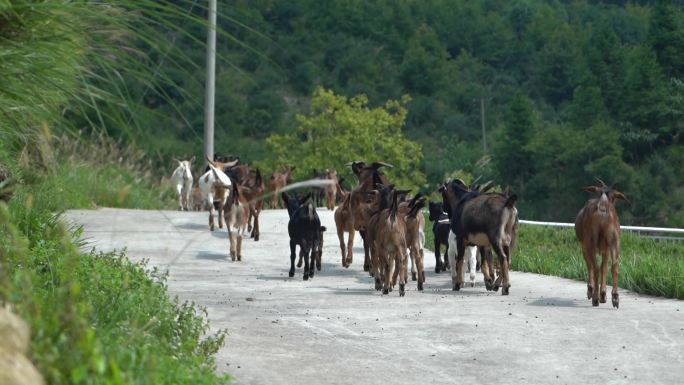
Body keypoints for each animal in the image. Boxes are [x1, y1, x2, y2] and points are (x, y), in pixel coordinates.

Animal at [576, 178, 628, 308]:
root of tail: (603, 209)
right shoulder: (606, 248)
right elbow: (604, 267)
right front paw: (603, 294)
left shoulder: (585, 246)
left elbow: (592, 265)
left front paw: (593, 291)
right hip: (614, 241)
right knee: (614, 266)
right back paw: (614, 297)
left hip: (590, 242)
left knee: (595, 267)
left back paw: (595, 297)